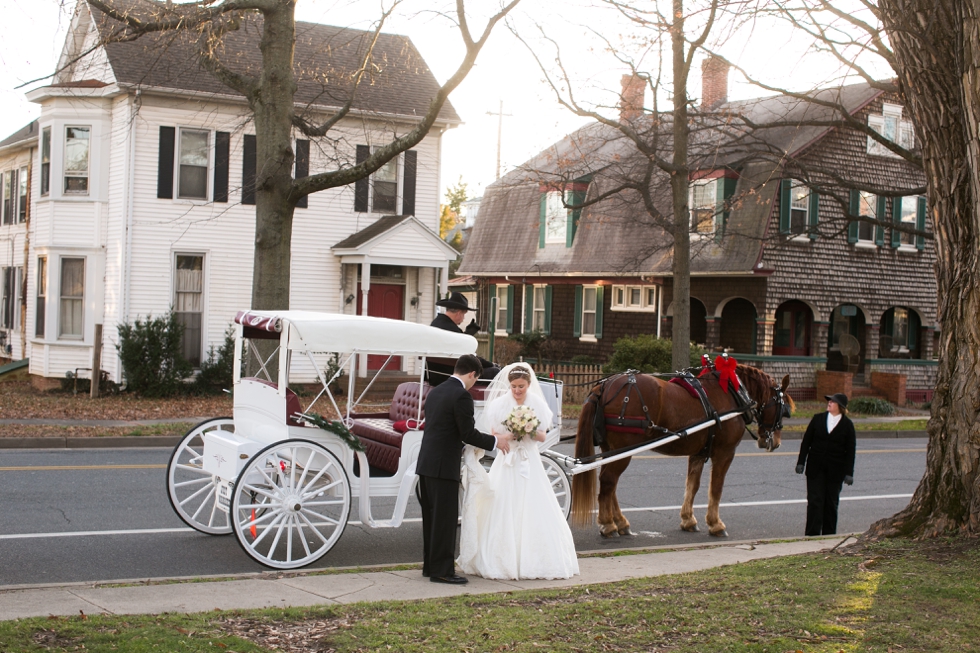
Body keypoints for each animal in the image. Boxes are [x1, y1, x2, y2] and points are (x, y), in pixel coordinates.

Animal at [572, 364, 792, 536]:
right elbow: (716, 488)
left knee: (611, 485)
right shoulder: (725, 452)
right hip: (623, 449)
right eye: (783, 407)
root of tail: (604, 386)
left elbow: (692, 486)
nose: (775, 442)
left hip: (611, 449)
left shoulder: (698, 453)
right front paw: (715, 524)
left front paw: (688, 520)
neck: (732, 393)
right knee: (608, 482)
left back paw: (620, 522)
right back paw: (608, 524)